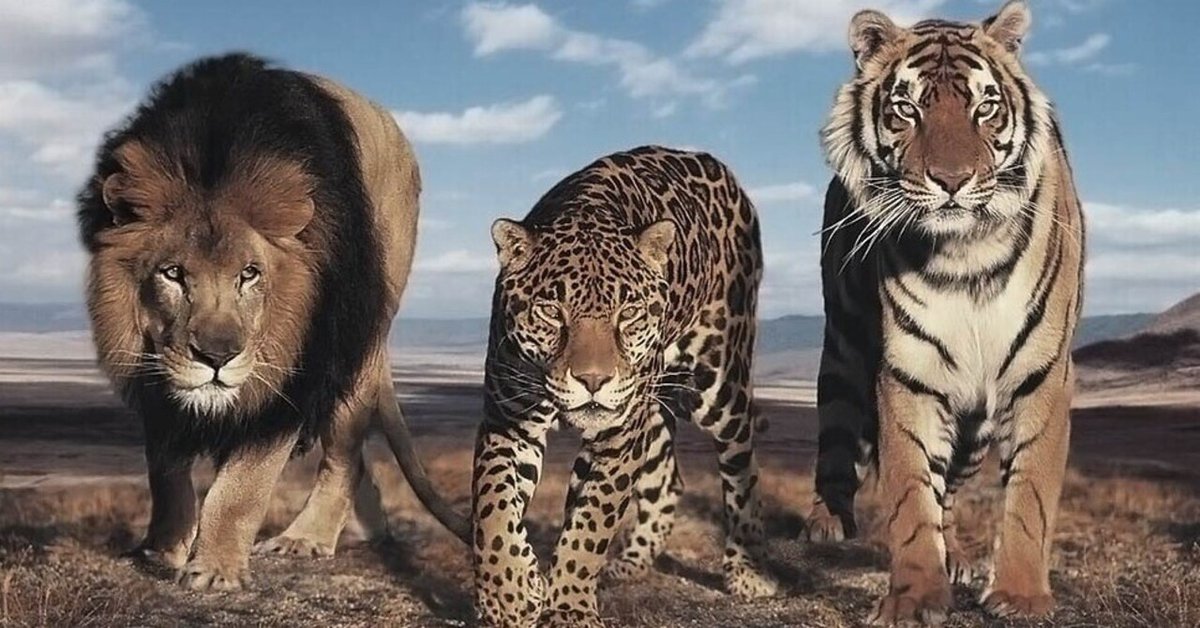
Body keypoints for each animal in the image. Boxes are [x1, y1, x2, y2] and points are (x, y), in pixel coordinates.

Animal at [76, 53, 469, 590]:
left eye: (249, 274)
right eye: (173, 273)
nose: (217, 357)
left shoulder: (293, 373)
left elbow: (242, 487)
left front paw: (215, 570)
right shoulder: (156, 375)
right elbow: (165, 473)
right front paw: (162, 549)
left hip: (362, 339)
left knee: (343, 457)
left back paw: (307, 537)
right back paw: (371, 528)